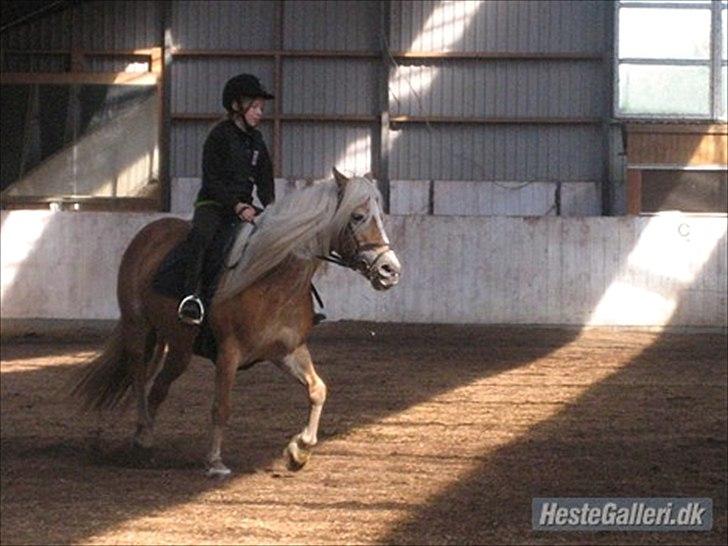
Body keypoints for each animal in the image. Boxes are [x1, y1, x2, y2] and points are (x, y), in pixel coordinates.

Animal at [71, 168, 400, 474]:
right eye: (357, 216)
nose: (390, 270)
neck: (274, 281)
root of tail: (150, 231)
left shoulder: (288, 351)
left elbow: (318, 390)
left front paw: (299, 451)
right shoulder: (229, 353)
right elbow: (221, 407)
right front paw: (215, 462)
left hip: (179, 346)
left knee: (159, 387)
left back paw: (146, 437)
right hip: (139, 328)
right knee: (140, 377)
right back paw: (143, 436)